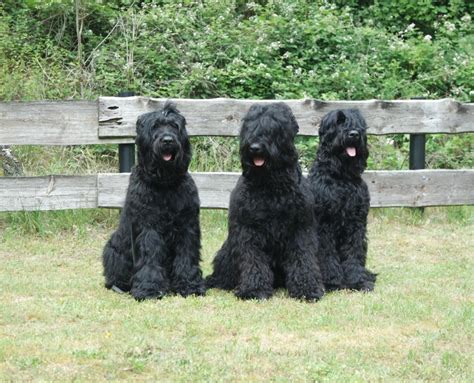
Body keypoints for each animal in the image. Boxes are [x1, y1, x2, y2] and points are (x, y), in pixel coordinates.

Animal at [102, 101, 206, 300]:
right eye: (155, 126)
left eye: (174, 126)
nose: (168, 140)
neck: (164, 183)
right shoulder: (148, 227)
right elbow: (150, 255)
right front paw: (149, 288)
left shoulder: (187, 226)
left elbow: (187, 255)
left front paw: (190, 285)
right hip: (113, 248)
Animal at [206, 103, 324, 304]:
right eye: (248, 125)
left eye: (273, 126)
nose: (254, 148)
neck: (270, 184)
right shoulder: (248, 230)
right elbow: (253, 260)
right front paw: (254, 289)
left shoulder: (301, 228)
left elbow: (303, 258)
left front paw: (307, 288)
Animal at [308, 109, 378, 292]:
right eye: (339, 121)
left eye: (358, 123)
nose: (354, 134)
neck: (342, 177)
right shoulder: (324, 224)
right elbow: (327, 253)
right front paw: (332, 281)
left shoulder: (356, 223)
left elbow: (354, 251)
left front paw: (357, 280)